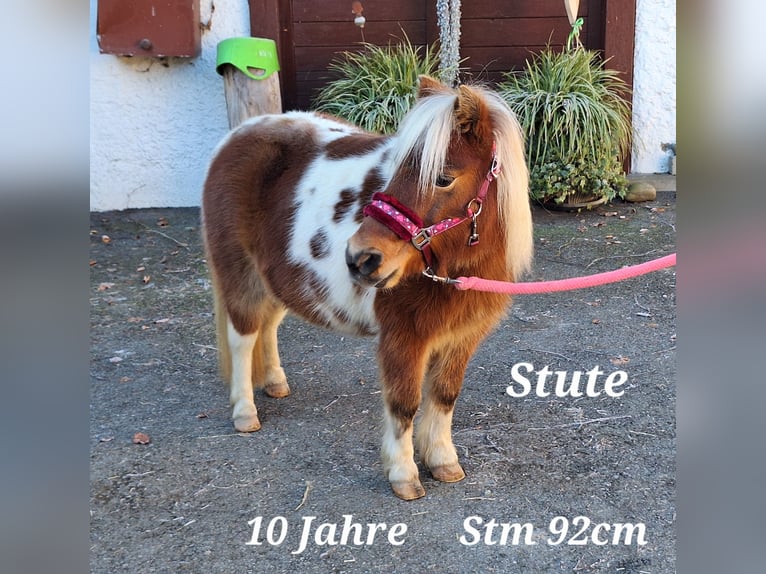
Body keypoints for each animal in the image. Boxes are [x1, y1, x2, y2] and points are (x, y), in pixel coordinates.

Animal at [201, 75, 532, 500]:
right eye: (394, 172)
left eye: (444, 178)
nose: (360, 258)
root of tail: (237, 136)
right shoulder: (403, 337)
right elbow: (404, 404)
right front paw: (404, 474)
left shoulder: (462, 337)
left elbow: (444, 396)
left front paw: (443, 461)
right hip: (241, 276)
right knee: (243, 337)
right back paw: (245, 412)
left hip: (278, 279)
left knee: (268, 327)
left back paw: (275, 383)